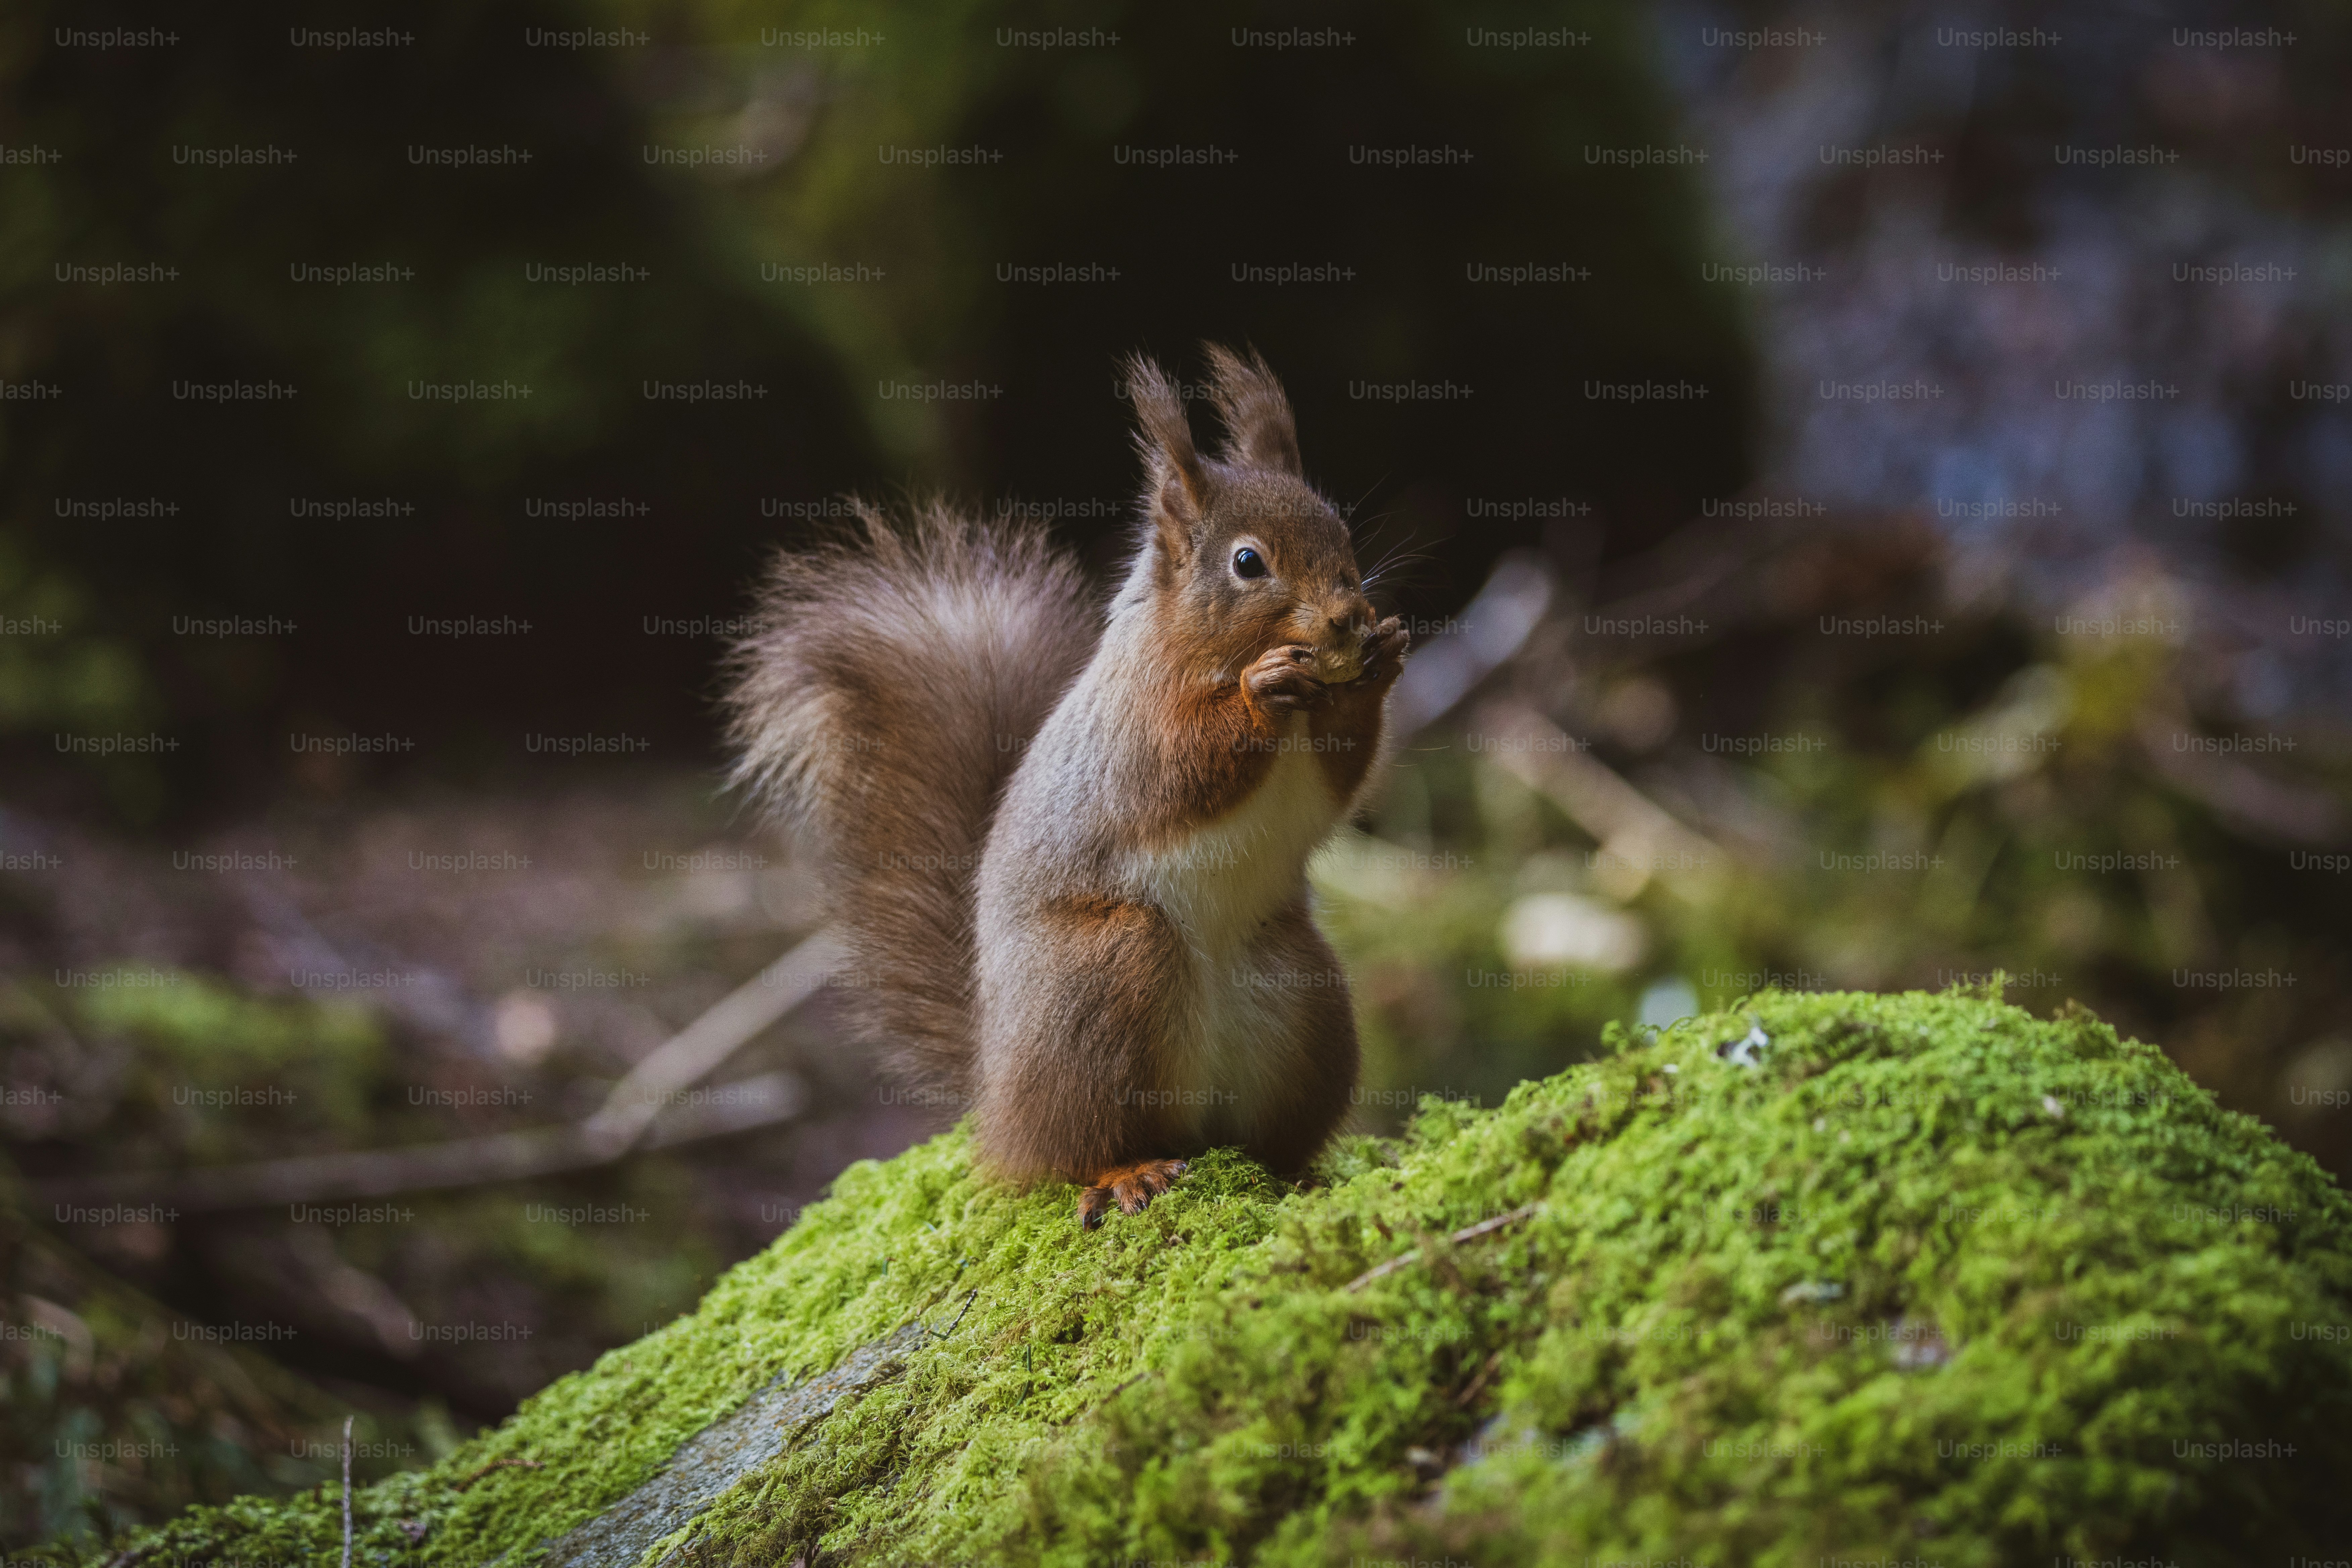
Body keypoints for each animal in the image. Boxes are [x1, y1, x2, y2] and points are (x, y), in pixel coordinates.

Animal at [727, 346, 1409, 1227]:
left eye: (1342, 533)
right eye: (1248, 562)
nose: (1347, 617)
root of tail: (997, 1094)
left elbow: (1339, 777)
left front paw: (1381, 660)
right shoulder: (1131, 731)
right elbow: (1176, 772)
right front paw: (1262, 692)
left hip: (1302, 992)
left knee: (1262, 1137)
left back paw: (1298, 1174)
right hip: (1103, 972)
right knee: (1068, 1151)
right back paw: (1127, 1172)